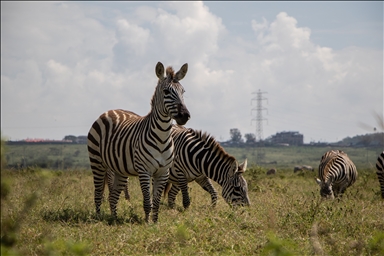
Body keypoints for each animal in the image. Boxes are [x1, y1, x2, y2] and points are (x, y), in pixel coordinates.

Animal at [86, 62, 190, 222]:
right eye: (166, 91)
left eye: (183, 91)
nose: (185, 116)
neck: (162, 136)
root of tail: (110, 111)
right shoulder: (144, 170)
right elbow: (148, 201)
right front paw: (147, 222)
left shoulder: (163, 172)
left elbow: (156, 201)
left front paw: (155, 222)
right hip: (97, 162)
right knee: (98, 194)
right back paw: (99, 218)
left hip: (120, 169)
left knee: (113, 196)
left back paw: (114, 219)